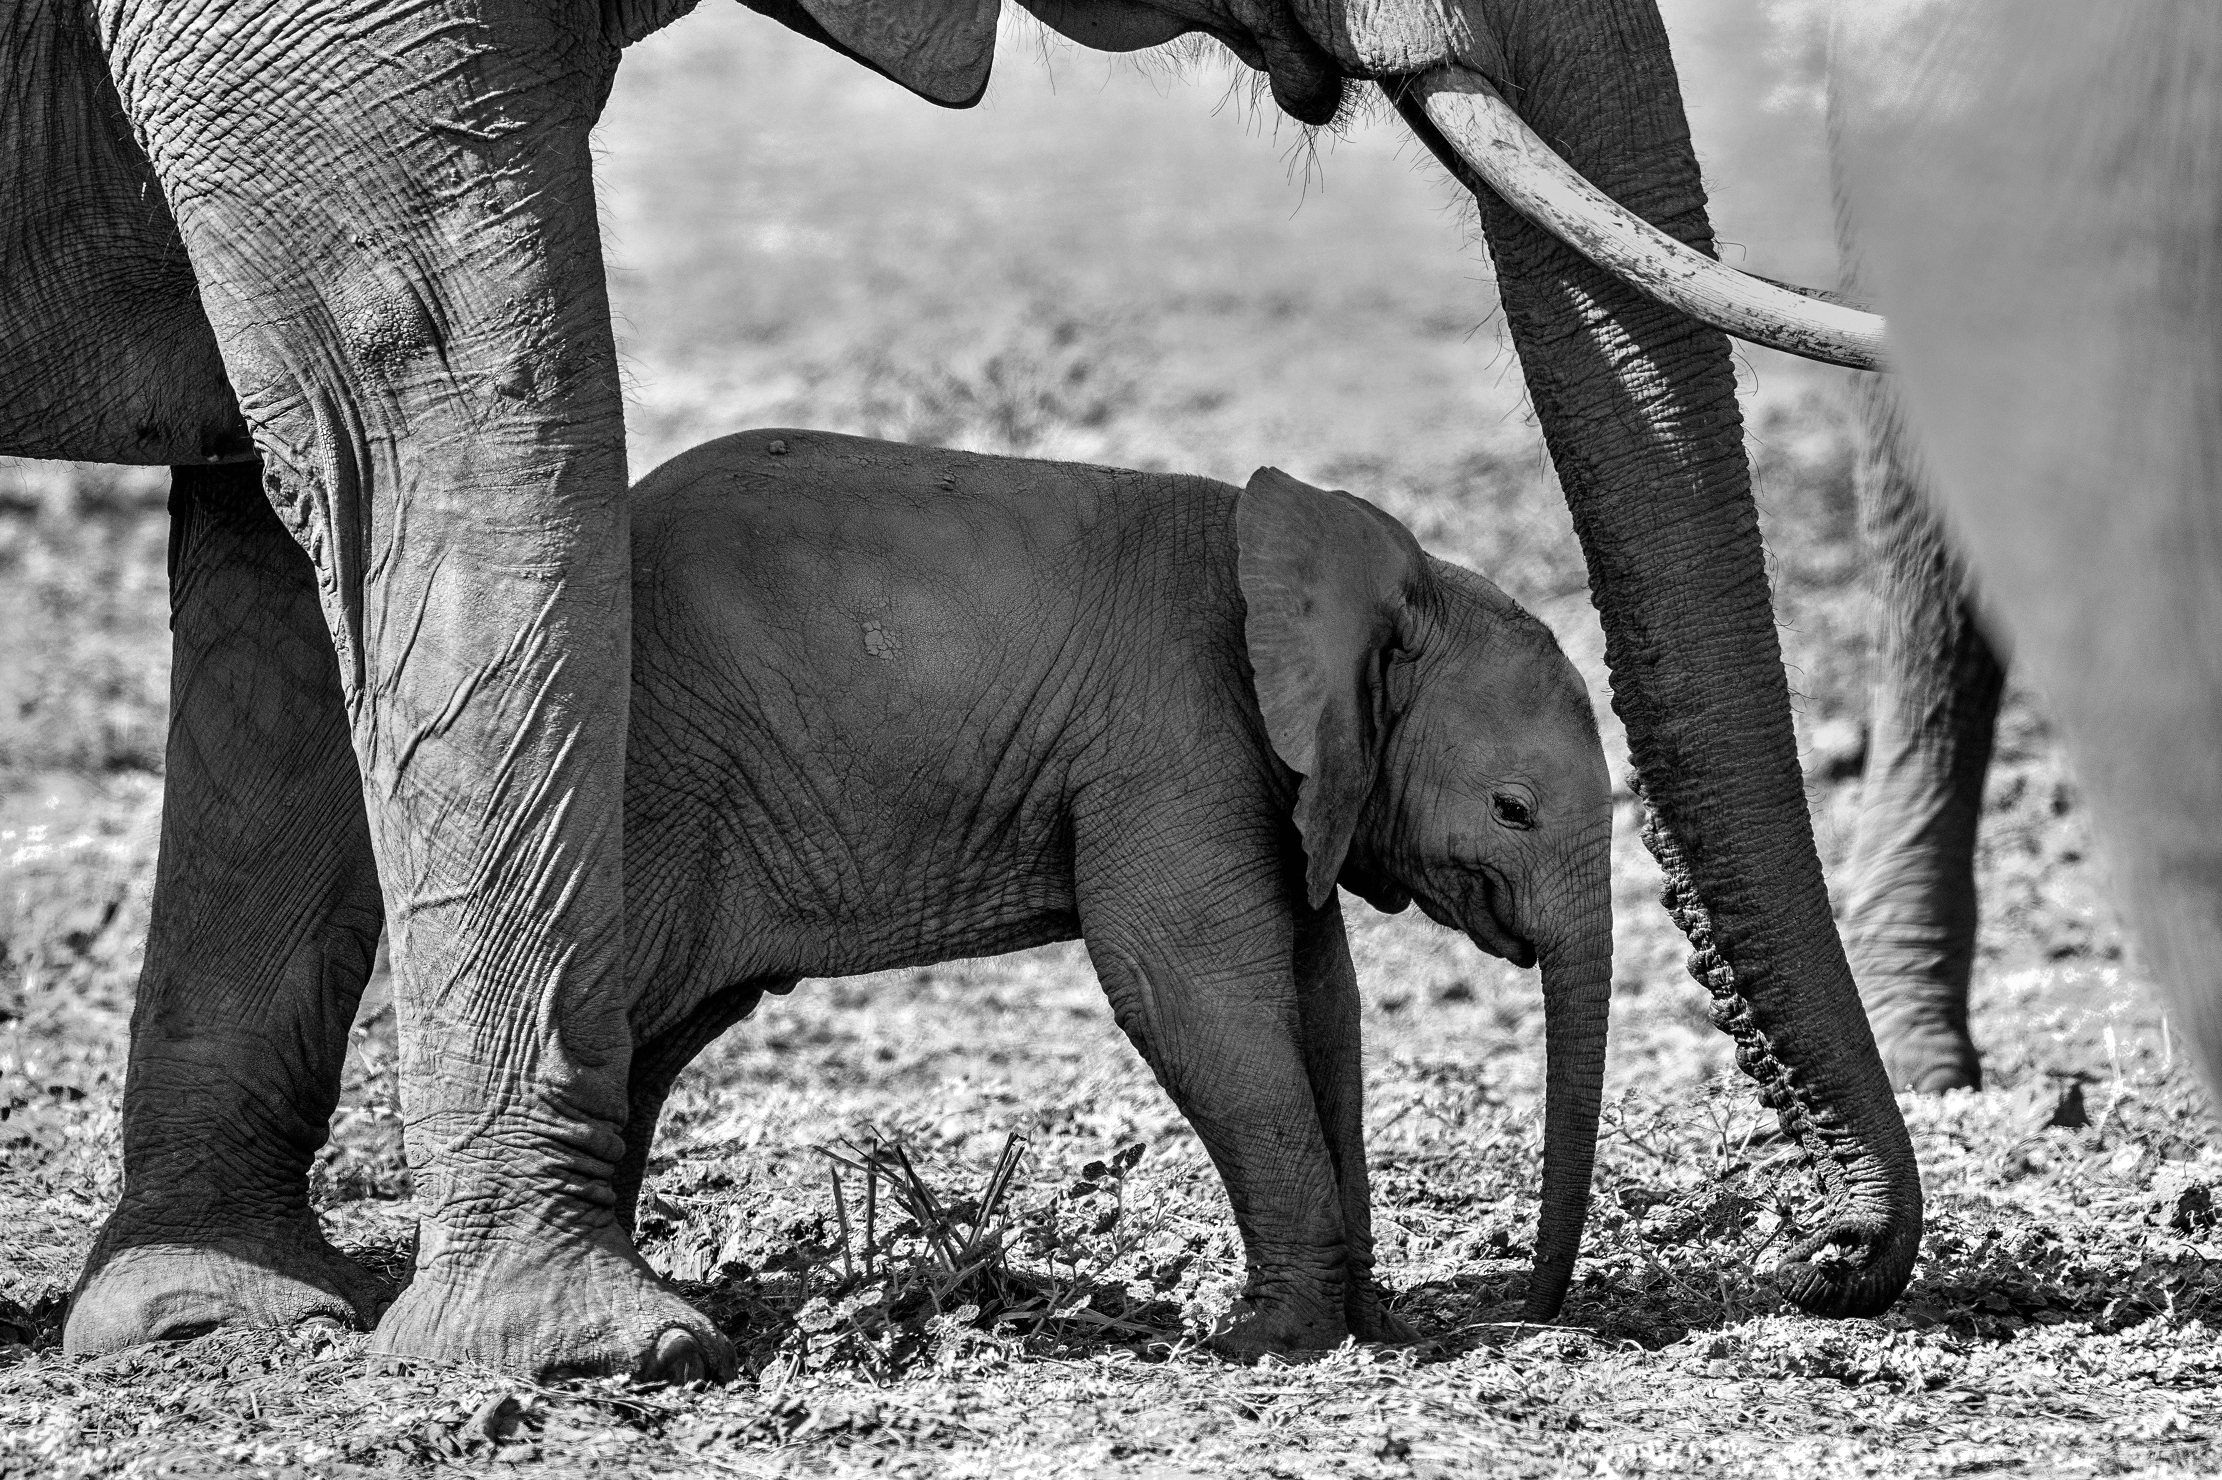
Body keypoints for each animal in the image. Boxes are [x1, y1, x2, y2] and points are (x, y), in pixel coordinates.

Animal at [15, 0, 1925, 1377]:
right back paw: (628, 1333)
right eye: (1515, 808)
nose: (1822, 1262)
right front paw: (1277, 1338)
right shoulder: (1170, 740)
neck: (1337, 553)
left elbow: (1309, 989)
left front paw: (1347, 1318)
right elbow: (1192, 981)